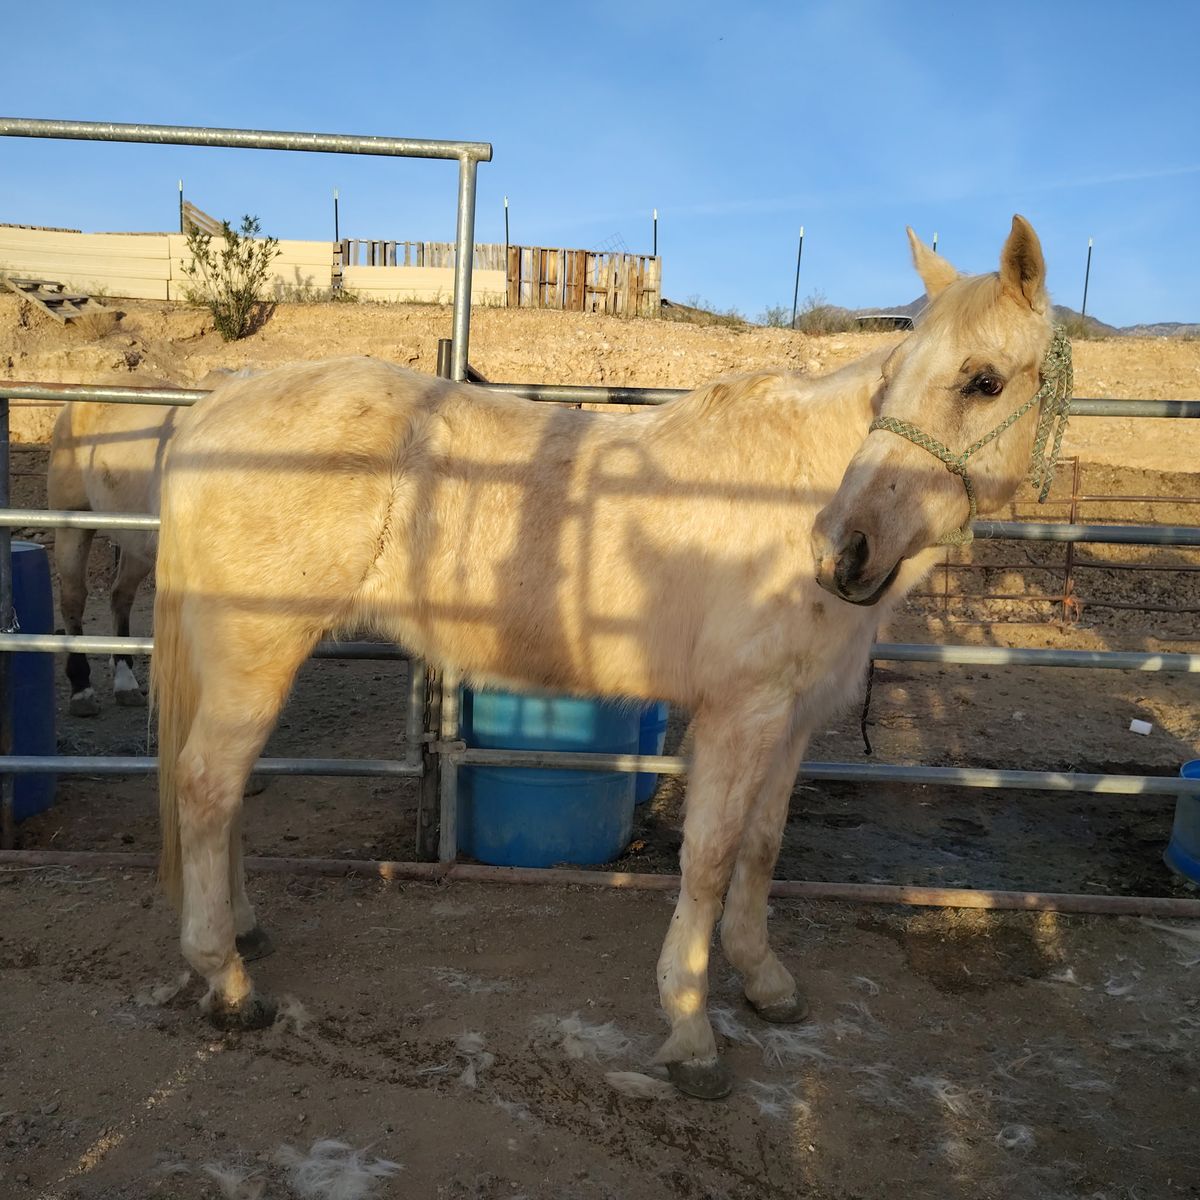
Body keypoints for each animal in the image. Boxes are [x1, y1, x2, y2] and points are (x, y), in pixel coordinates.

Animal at [152, 217, 1063, 1099]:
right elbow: (710, 859)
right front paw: (692, 1032)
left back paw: (243, 934)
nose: (844, 550)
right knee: (204, 786)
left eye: (984, 381)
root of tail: (219, 403)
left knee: (223, 794)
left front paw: (765, 981)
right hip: (255, 653)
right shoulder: (740, 716)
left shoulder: (794, 718)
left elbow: (763, 847)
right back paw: (226, 982)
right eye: (895, 378)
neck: (795, 484)